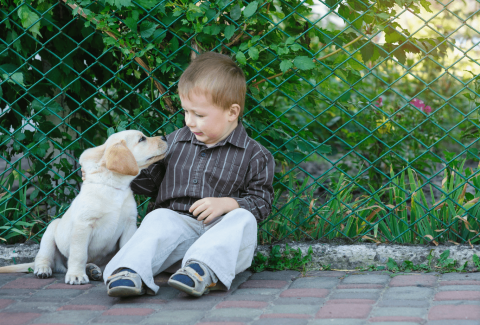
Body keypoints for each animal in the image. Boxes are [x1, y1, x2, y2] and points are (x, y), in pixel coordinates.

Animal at [0, 130, 169, 284]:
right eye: (142, 139)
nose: (164, 137)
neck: (113, 186)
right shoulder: (83, 225)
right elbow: (79, 254)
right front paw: (76, 276)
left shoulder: (129, 225)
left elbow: (127, 250)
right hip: (51, 231)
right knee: (44, 257)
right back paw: (44, 269)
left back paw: (93, 270)